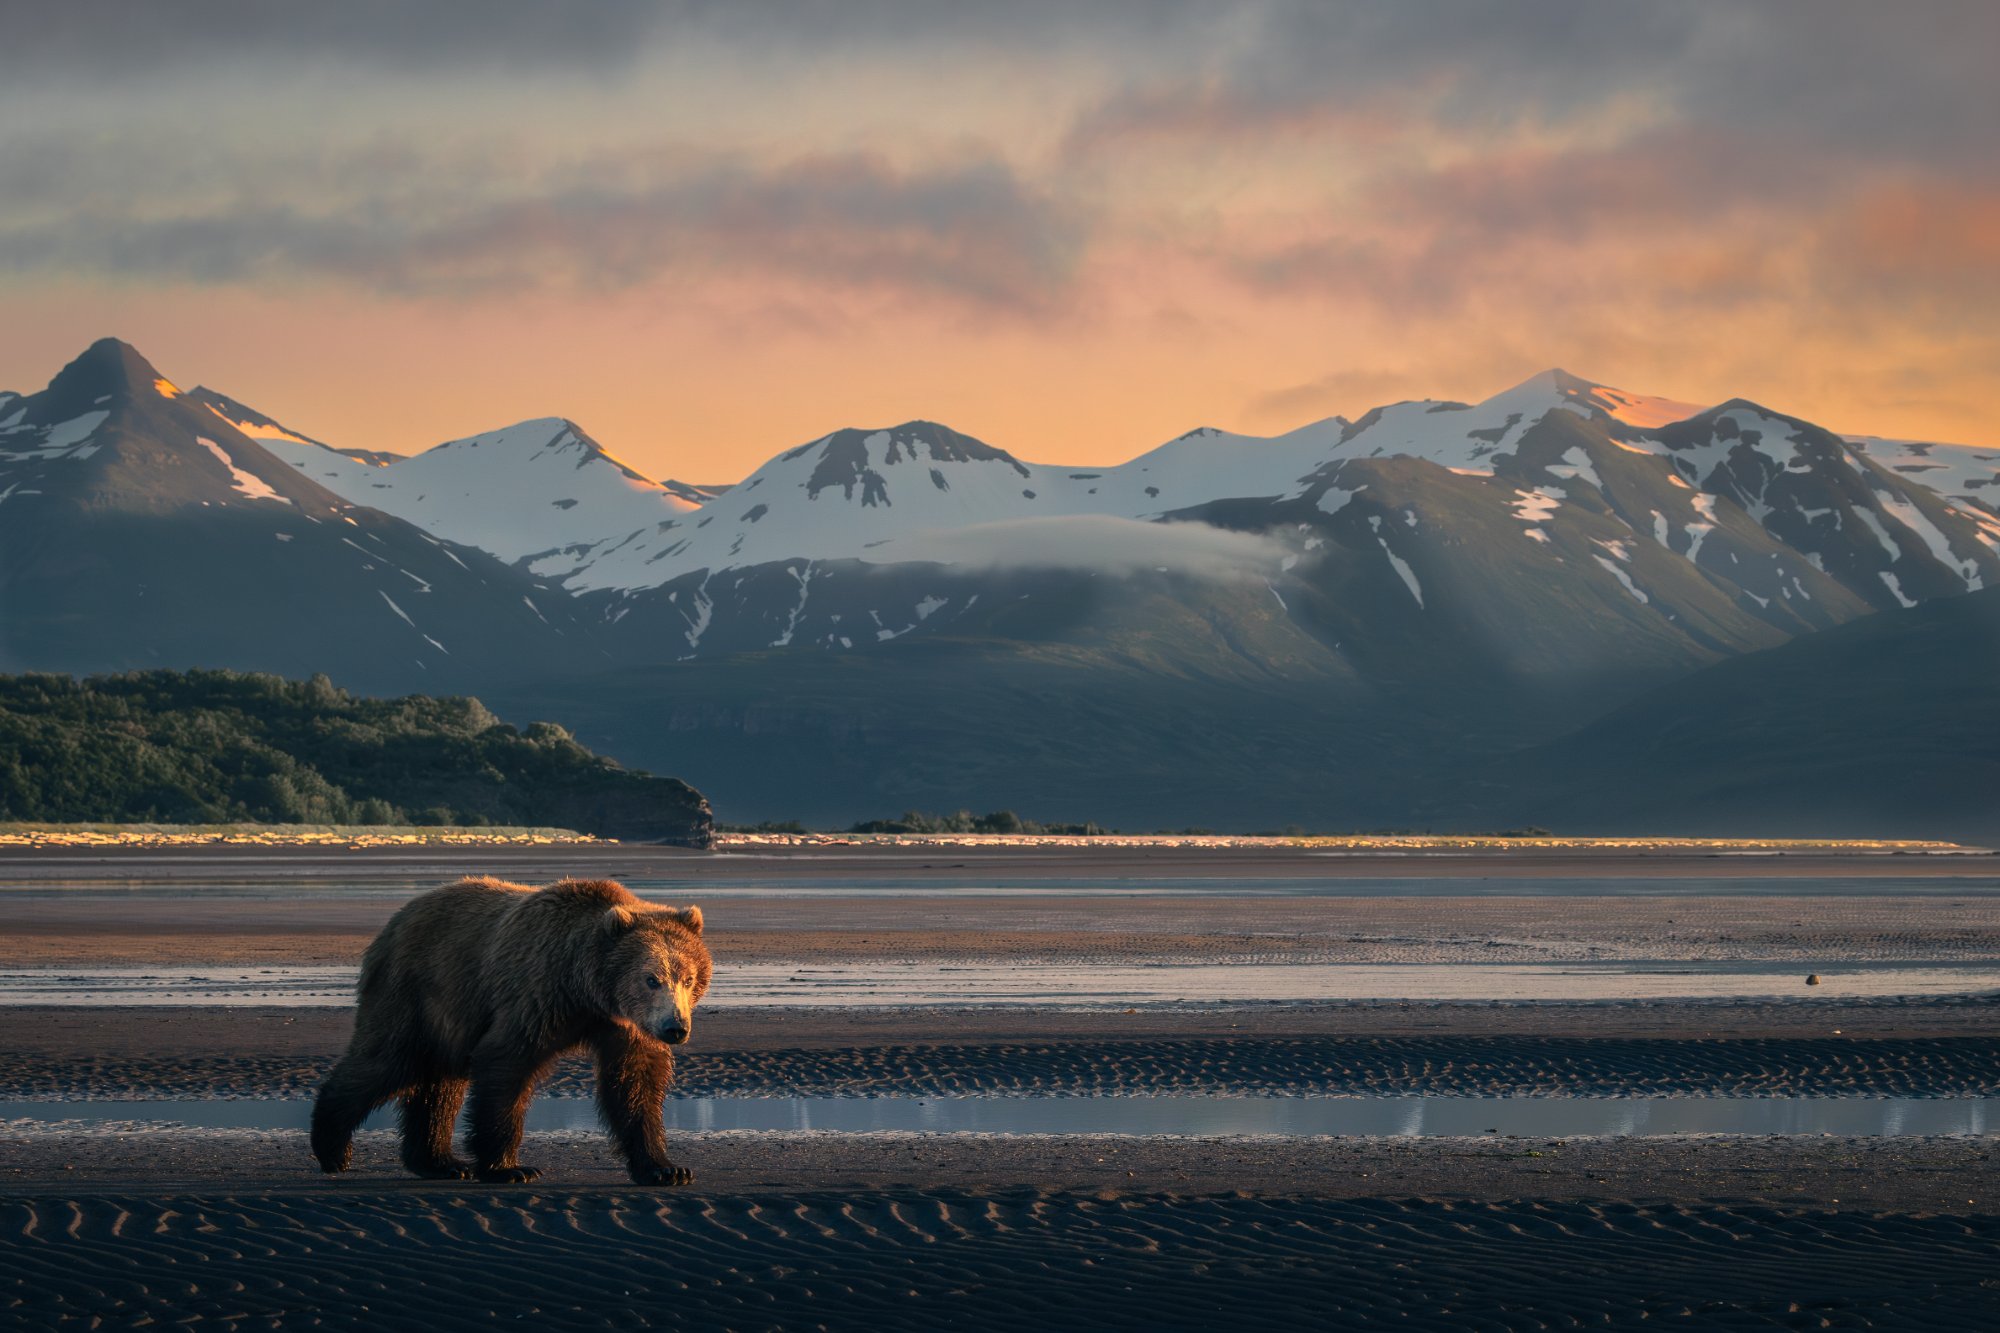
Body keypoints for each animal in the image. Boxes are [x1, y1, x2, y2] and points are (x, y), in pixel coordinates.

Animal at [309, 876, 711, 1185]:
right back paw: (332, 1148)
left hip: (449, 1015)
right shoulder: (536, 995)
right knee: (388, 1061)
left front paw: (666, 1169)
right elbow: (507, 1065)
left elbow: (635, 1082)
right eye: (651, 979)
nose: (675, 1027)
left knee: (439, 1083)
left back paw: (442, 1163)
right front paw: (510, 1168)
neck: (585, 990)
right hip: (414, 991)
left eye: (688, 978)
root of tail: (397, 919)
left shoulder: (625, 1025)